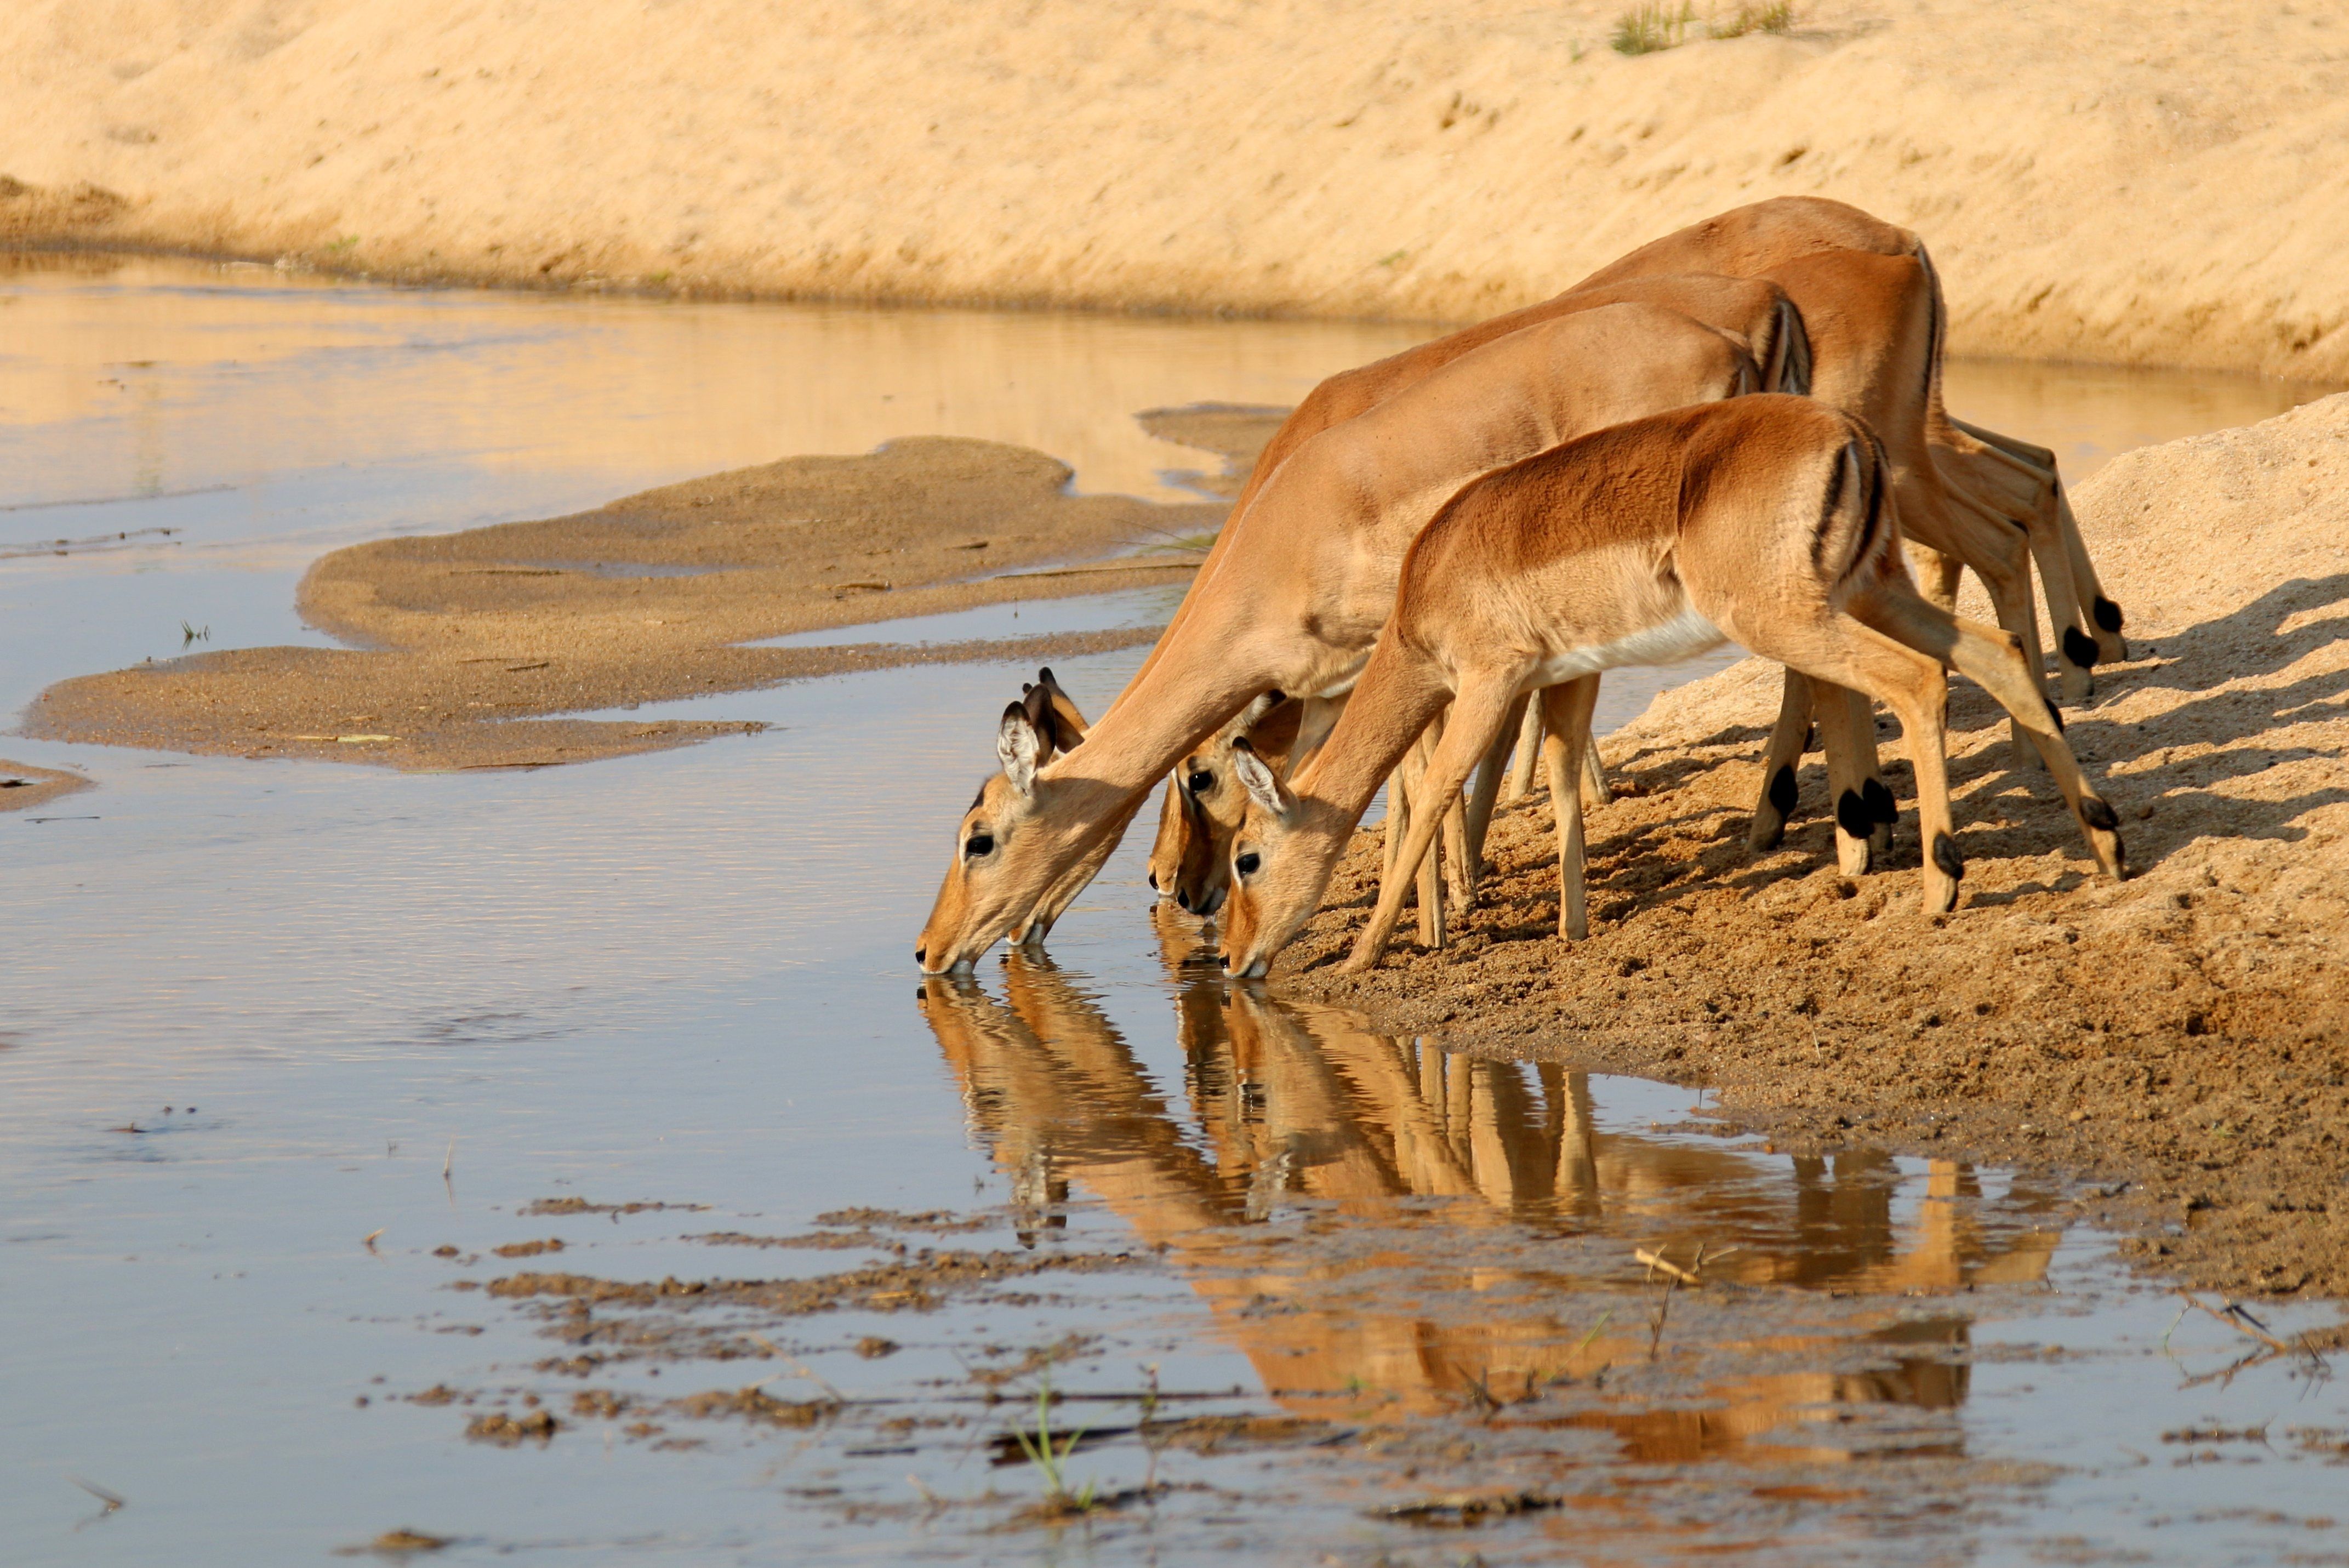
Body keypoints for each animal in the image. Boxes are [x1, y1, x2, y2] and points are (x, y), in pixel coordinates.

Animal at [914, 300, 1770, 974]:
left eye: (978, 838)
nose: (927, 951)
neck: (1279, 545)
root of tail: (1727, 343)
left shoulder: (1398, 653)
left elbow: (1411, 775)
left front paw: (1431, 927)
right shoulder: (1331, 687)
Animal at [1216, 395, 2127, 980]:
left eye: (1245, 857)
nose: (1231, 960)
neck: (1425, 589)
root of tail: (1851, 433)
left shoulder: (1486, 680)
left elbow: (1440, 788)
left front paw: (1364, 953)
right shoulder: (1570, 673)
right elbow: (1561, 781)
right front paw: (1573, 928)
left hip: (1792, 618)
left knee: (1917, 679)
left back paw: (1942, 885)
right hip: (1871, 591)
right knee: (1995, 653)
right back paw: (2106, 849)